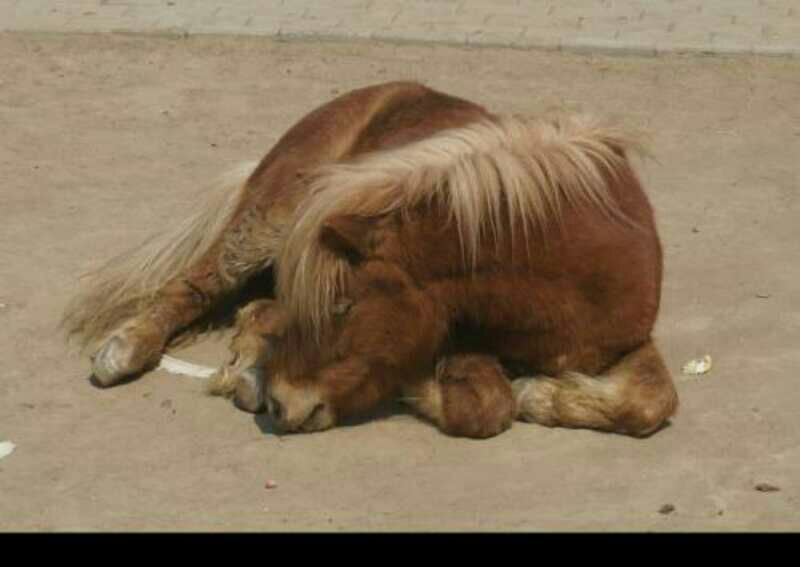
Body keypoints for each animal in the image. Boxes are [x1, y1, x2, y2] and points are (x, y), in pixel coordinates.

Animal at [63, 81, 678, 439]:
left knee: (254, 310)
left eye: (342, 307)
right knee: (196, 284)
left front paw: (545, 395)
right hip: (269, 218)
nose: (283, 409)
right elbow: (487, 406)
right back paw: (129, 349)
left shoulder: (627, 340)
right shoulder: (456, 335)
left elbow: (651, 403)